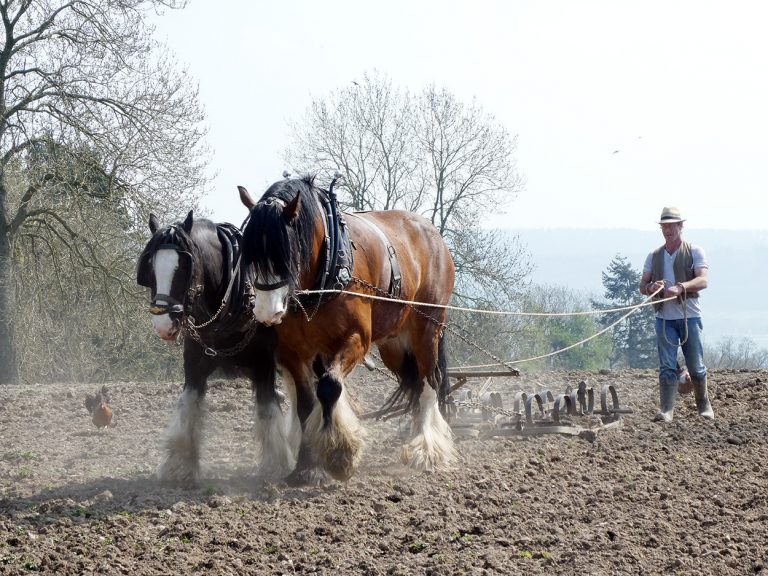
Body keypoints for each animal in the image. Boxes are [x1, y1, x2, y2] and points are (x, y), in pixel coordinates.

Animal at [137, 210, 298, 486]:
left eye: (185, 267)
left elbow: (267, 410)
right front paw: (179, 467)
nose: (162, 324)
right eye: (151, 266)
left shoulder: (264, 366)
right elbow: (188, 405)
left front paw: (274, 466)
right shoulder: (195, 365)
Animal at [239, 175, 456, 483]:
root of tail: (432, 233)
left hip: (427, 328)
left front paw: (340, 455)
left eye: (287, 251)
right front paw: (306, 466)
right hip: (394, 345)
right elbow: (306, 405)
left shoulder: (356, 340)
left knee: (429, 384)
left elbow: (329, 386)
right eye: (251, 254)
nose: (267, 312)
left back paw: (426, 448)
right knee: (413, 382)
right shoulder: (293, 352)